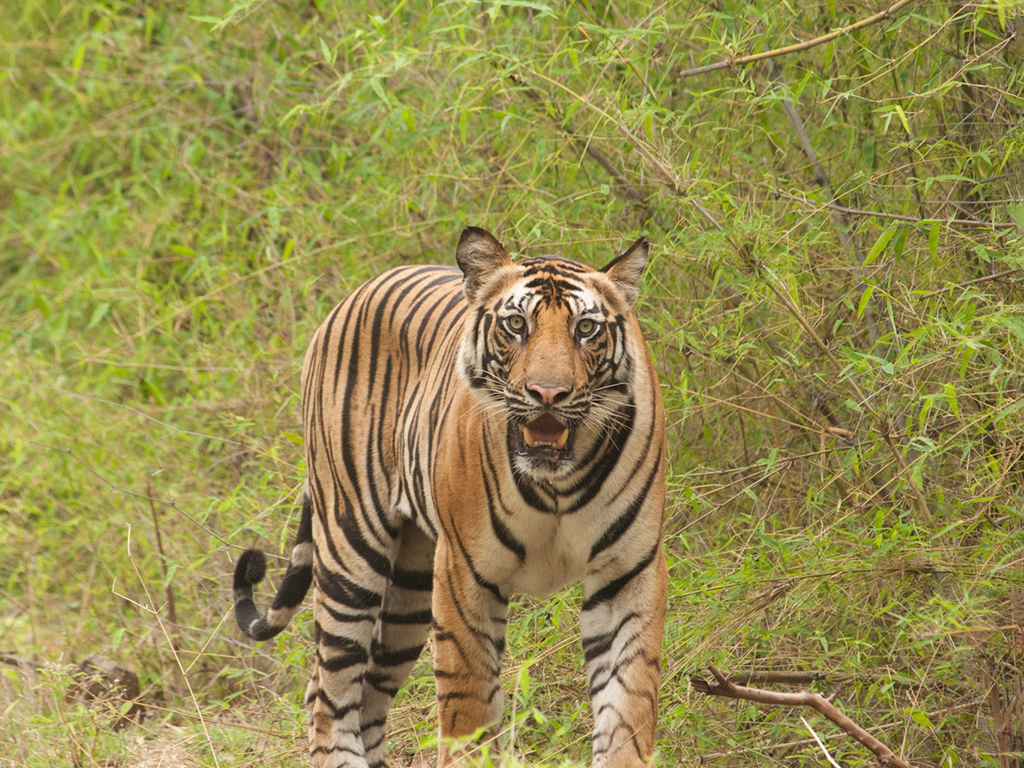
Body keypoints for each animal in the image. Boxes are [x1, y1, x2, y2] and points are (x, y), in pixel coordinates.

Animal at [233, 228, 667, 768]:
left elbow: (628, 705)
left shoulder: (628, 574)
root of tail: (353, 294)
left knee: (365, 694)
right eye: (517, 325)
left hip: (409, 587)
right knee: (327, 695)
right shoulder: (465, 574)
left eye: (586, 328)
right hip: (351, 550)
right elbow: (470, 709)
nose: (548, 393)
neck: (557, 484)